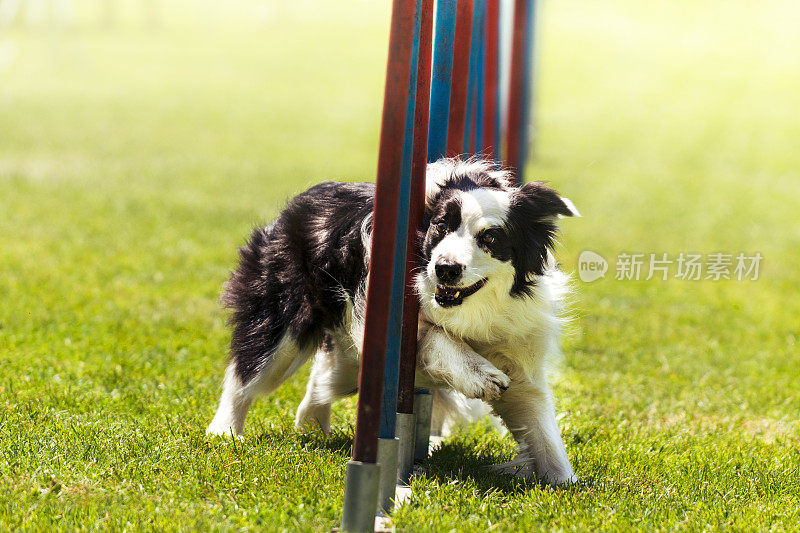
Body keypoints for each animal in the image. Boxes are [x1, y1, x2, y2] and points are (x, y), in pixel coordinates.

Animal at [209, 156, 580, 484]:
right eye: (440, 227)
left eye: (490, 237)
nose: (445, 268)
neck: (472, 311)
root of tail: (302, 199)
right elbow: (437, 336)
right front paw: (480, 375)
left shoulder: (519, 348)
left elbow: (540, 423)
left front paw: (564, 484)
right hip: (282, 310)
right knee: (250, 367)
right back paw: (225, 432)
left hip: (348, 359)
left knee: (326, 375)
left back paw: (311, 424)